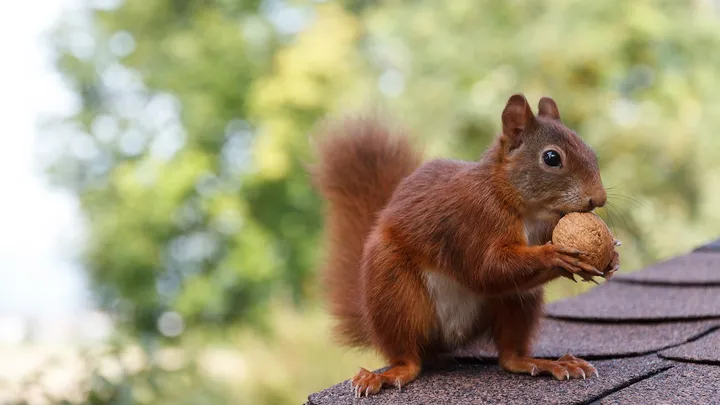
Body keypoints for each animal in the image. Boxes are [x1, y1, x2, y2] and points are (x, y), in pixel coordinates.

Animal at [310, 94, 620, 397]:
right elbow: (485, 270)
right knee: (407, 355)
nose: (599, 199)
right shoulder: (472, 220)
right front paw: (554, 255)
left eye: (591, 152)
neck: (522, 206)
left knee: (509, 355)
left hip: (519, 302)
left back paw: (542, 363)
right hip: (393, 289)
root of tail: (449, 339)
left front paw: (611, 256)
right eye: (552, 158)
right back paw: (391, 373)